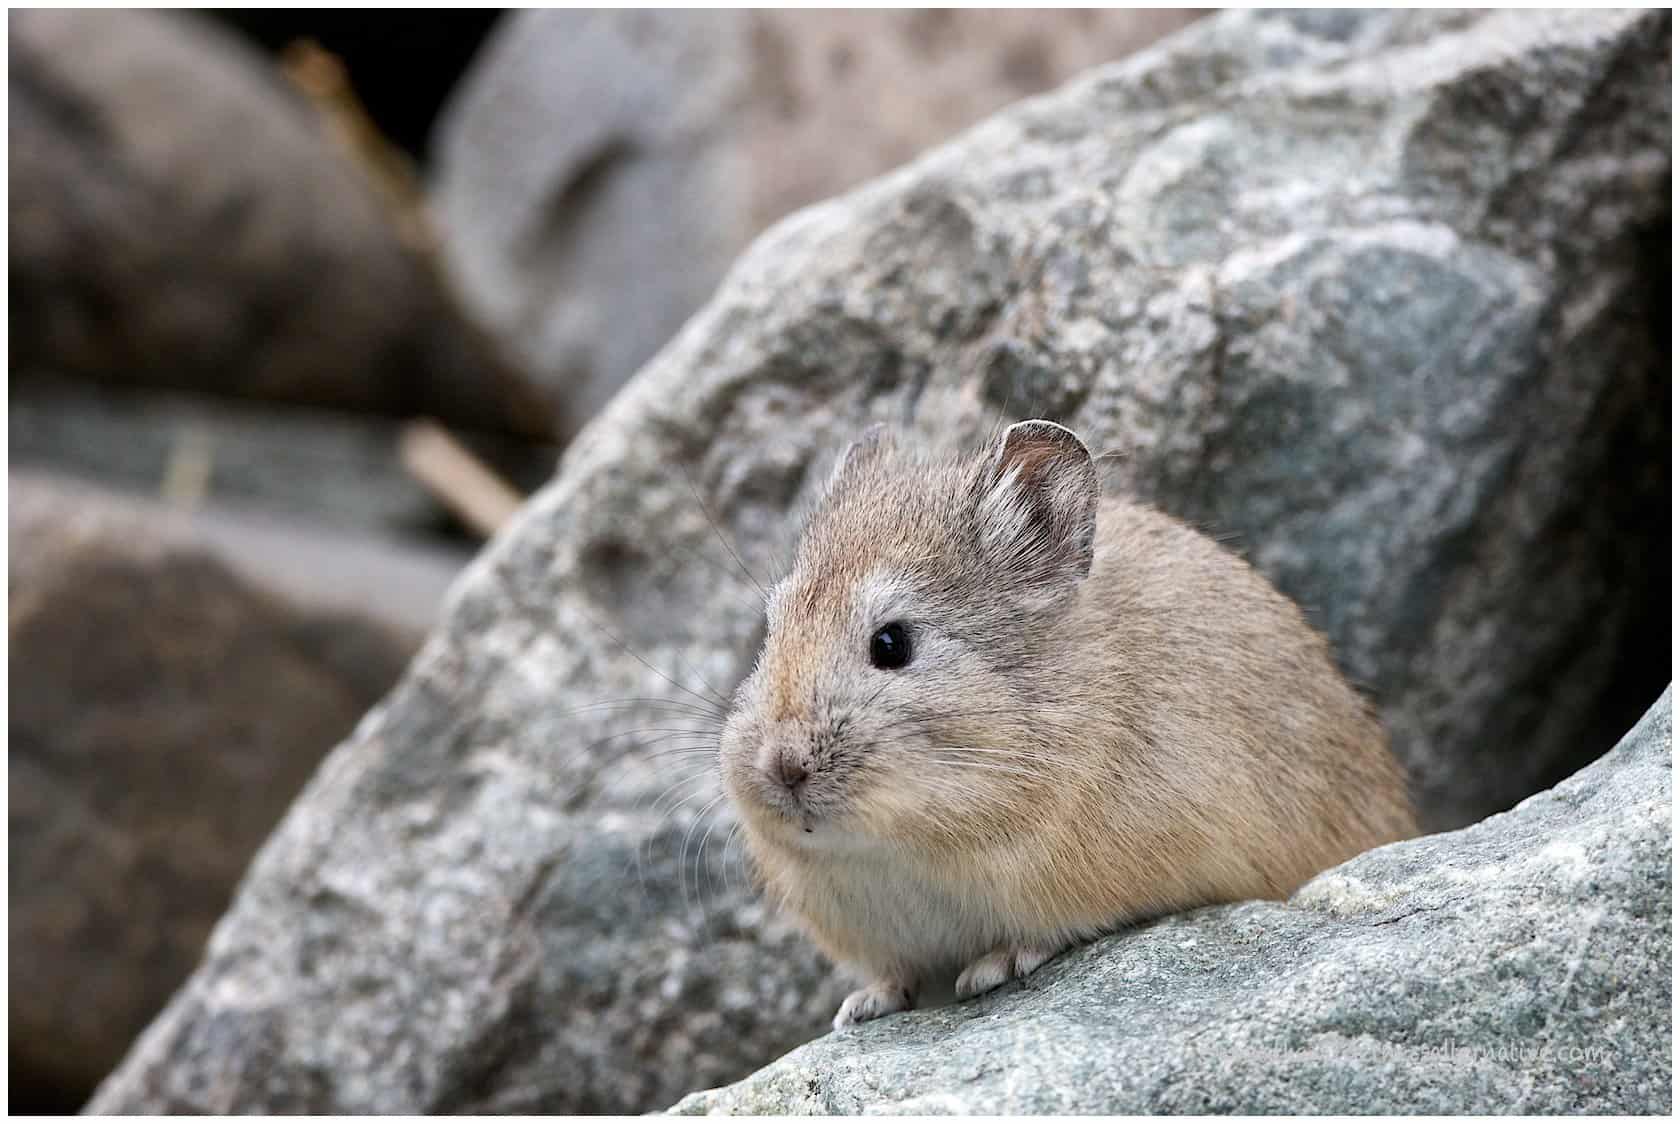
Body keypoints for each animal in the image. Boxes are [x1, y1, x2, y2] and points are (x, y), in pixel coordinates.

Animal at [719, 419, 1417, 1030]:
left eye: (892, 643)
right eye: (769, 631)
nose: (782, 767)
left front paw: (992, 968)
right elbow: (895, 974)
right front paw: (860, 1007)